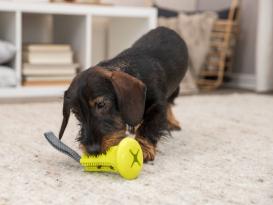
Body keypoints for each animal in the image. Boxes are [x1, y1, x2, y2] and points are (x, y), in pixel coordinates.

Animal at [58, 26, 186, 162]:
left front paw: (143, 148)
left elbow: (149, 125)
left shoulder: (158, 105)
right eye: (76, 113)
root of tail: (165, 28)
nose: (93, 151)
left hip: (175, 88)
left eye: (101, 104)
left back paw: (172, 122)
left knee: (169, 103)